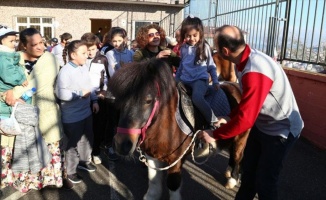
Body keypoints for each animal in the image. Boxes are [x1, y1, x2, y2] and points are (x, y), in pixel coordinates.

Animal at [109, 58, 250, 199]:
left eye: (148, 100)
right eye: (118, 99)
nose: (122, 144)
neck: (167, 125)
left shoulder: (176, 159)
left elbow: (173, 183)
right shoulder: (152, 156)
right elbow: (153, 181)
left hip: (241, 137)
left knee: (238, 155)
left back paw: (232, 179)